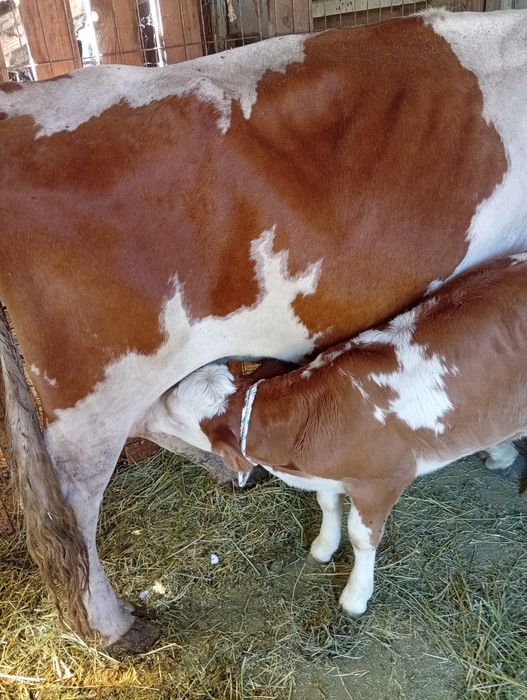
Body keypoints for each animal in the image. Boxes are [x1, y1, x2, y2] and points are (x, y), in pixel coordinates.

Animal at [155, 253, 527, 617]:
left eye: (175, 414)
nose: (154, 403)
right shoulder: (328, 475)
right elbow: (326, 502)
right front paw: (323, 546)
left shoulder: (383, 480)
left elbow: (361, 538)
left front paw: (356, 595)